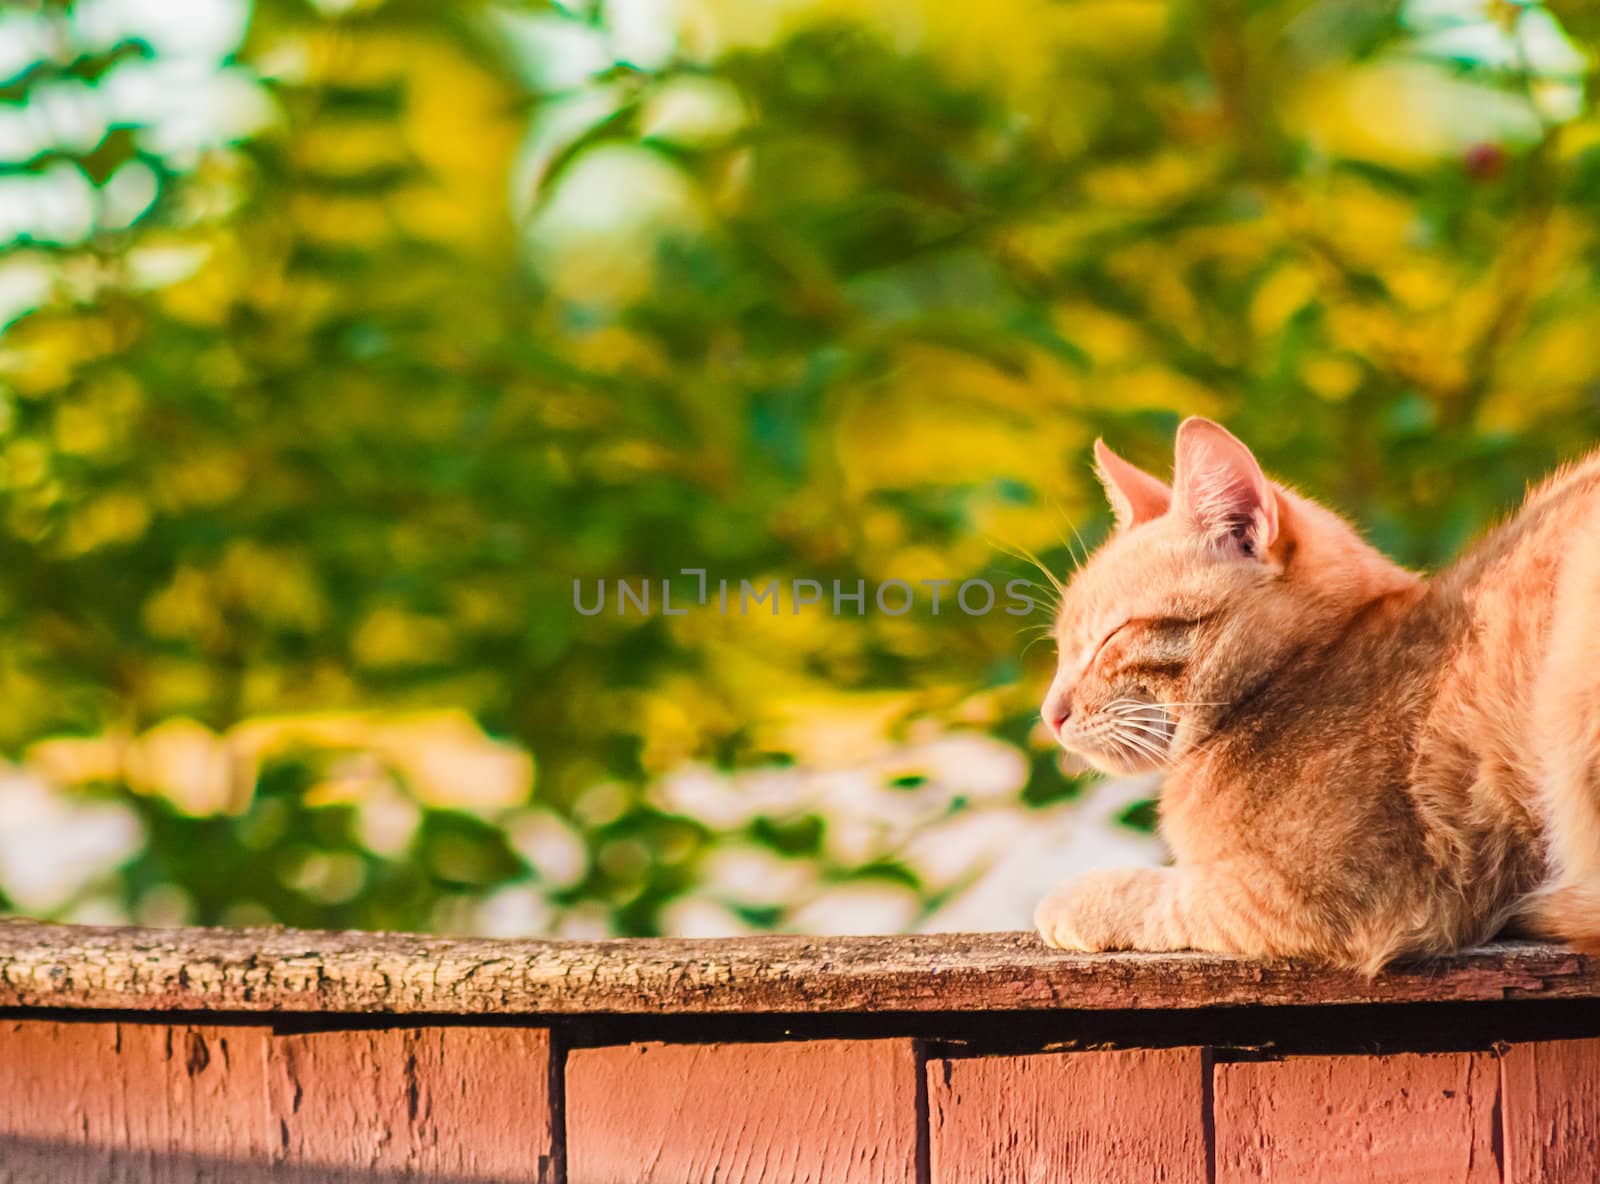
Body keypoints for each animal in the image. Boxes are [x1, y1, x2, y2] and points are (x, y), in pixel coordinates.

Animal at [1036, 416, 1600, 972]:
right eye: (1062, 647)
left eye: (1112, 637)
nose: (1050, 714)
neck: (1303, 671)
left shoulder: (1319, 894)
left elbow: (1162, 895)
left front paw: (1071, 901)